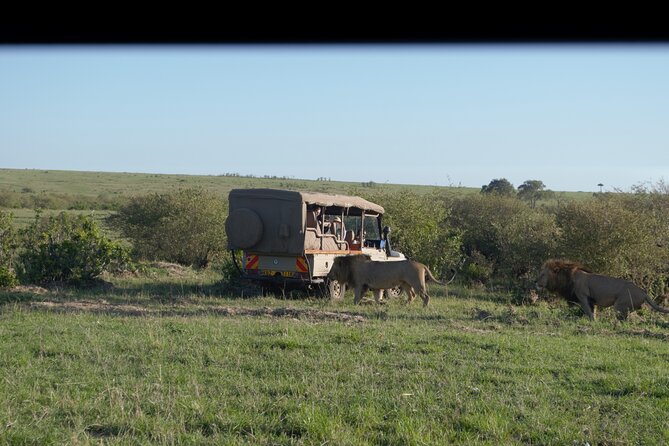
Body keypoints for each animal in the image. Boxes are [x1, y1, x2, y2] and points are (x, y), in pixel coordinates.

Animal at [535, 259, 669, 320]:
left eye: (542, 274)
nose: (535, 282)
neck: (568, 277)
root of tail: (643, 292)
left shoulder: (583, 296)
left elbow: (589, 313)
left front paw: (592, 323)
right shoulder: (591, 301)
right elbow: (593, 312)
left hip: (620, 305)